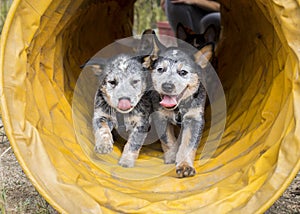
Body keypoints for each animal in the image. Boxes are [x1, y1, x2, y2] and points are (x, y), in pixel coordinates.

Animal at [145, 33, 213, 177]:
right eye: (160, 69)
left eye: (183, 72)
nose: (167, 86)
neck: (177, 109)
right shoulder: (160, 117)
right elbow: (168, 140)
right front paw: (171, 158)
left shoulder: (194, 118)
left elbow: (188, 144)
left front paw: (185, 166)